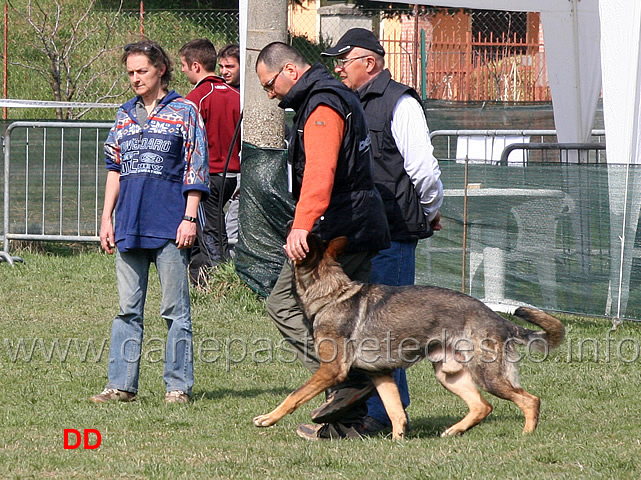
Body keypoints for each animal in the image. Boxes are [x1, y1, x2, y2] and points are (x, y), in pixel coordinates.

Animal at [252, 234, 564, 440]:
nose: (292, 226)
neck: (332, 294)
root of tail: (500, 320)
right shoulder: (381, 374)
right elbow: (395, 412)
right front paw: (396, 440)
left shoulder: (331, 370)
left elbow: (294, 396)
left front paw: (267, 419)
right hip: (449, 375)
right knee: (482, 406)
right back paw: (453, 431)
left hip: (488, 376)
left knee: (530, 400)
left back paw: (526, 435)